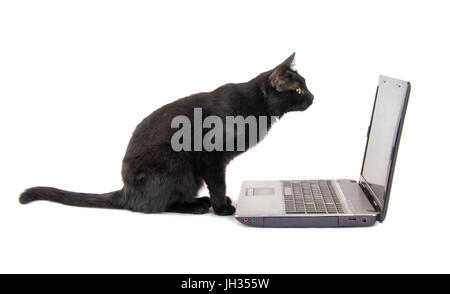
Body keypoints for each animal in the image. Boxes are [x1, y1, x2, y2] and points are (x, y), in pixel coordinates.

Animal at [20, 52, 312, 215]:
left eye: (306, 86)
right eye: (298, 90)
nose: (313, 97)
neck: (254, 108)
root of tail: (126, 190)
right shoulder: (210, 157)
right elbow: (219, 183)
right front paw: (222, 208)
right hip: (175, 162)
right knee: (156, 205)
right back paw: (198, 205)